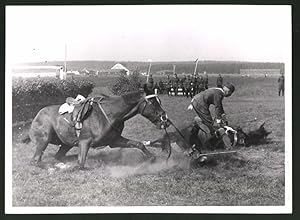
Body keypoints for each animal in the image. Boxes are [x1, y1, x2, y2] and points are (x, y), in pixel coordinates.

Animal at [22, 90, 170, 168]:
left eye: (160, 102)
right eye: (153, 103)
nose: (165, 120)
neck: (110, 114)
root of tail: (37, 116)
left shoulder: (114, 141)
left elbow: (139, 144)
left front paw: (152, 158)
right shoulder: (84, 142)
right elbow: (81, 164)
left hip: (66, 144)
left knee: (57, 156)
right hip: (44, 139)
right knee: (35, 160)